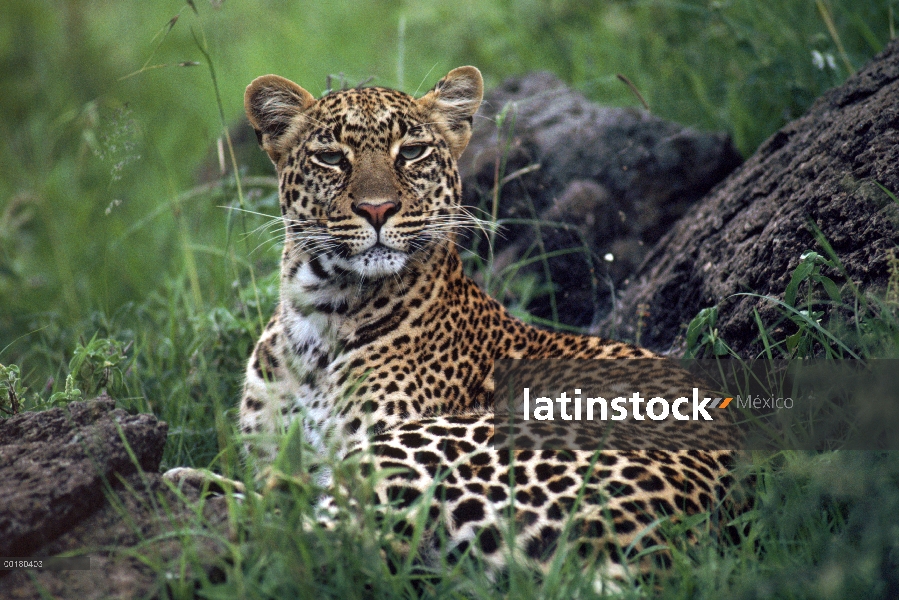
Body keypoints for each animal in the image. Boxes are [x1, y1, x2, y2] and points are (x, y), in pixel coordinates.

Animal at [204, 65, 740, 580]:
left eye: (412, 152)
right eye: (332, 158)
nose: (377, 209)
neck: (317, 317)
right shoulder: (271, 455)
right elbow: (273, 488)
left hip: (420, 447)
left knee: (319, 542)